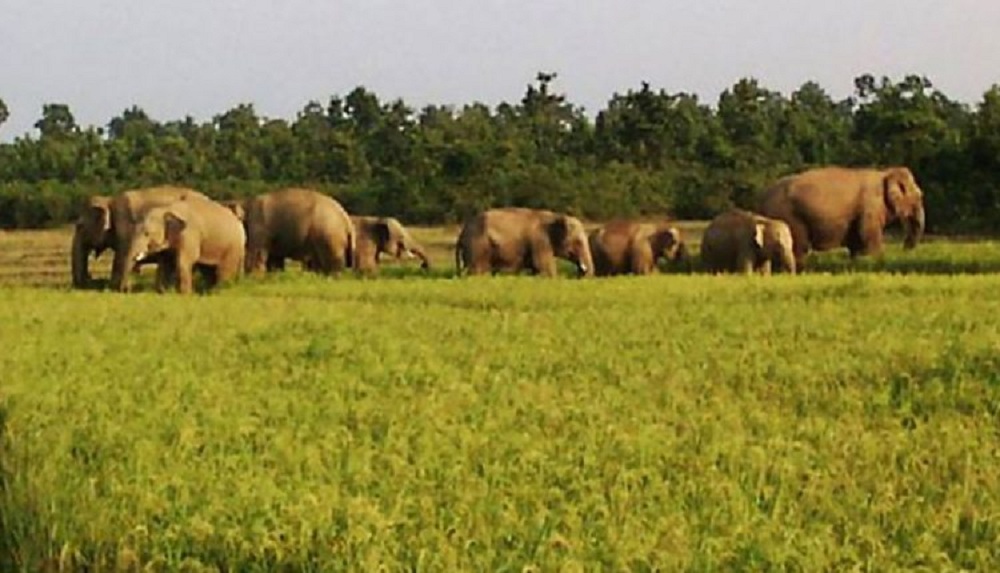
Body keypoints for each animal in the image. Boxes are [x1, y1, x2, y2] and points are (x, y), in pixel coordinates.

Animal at [71, 186, 208, 291]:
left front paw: (114, 288)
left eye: (79, 226)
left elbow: (120, 257)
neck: (109, 199)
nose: (90, 278)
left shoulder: (125, 229)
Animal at [455, 207, 594, 277]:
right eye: (578, 242)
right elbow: (545, 269)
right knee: (479, 272)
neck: (555, 216)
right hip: (478, 247)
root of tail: (462, 233)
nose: (581, 272)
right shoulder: (540, 241)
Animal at [757, 166, 926, 268]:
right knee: (799, 246)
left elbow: (856, 240)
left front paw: (857, 262)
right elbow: (868, 234)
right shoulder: (870, 205)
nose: (905, 249)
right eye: (919, 197)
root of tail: (762, 197)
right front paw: (877, 259)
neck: (885, 173)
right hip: (789, 215)